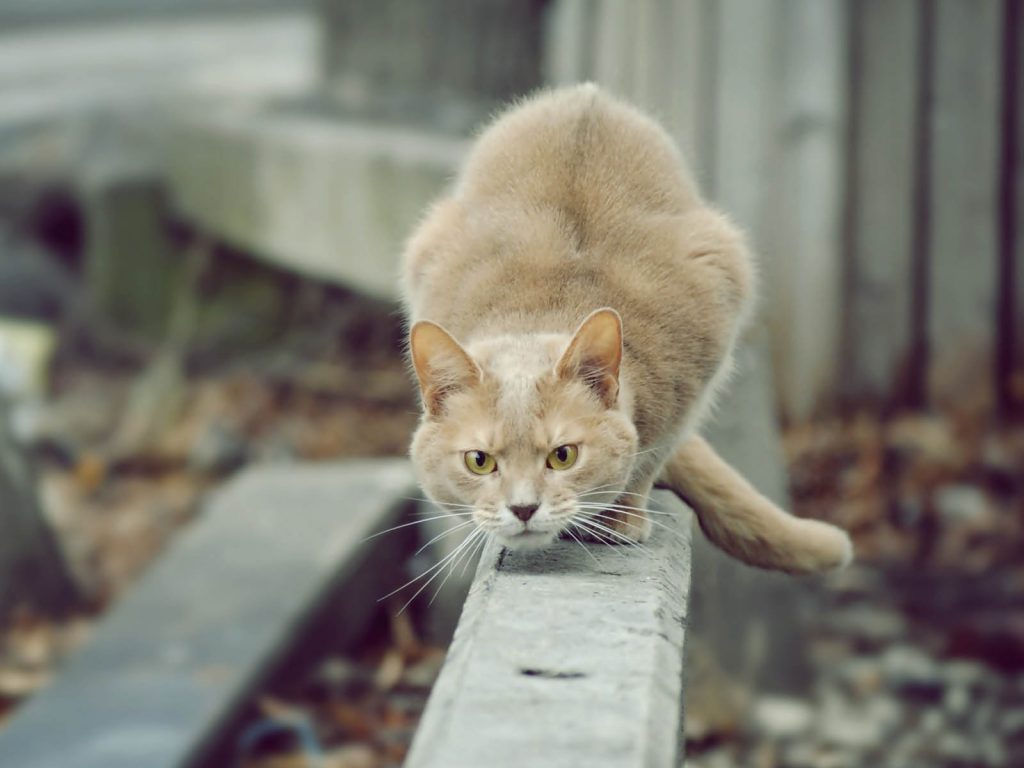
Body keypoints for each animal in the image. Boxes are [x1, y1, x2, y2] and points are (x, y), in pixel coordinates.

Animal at [399, 85, 856, 577]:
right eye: (479, 462)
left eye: (563, 455)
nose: (523, 508)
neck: (545, 308)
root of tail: (587, 92)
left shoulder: (699, 367)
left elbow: (651, 455)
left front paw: (620, 516)